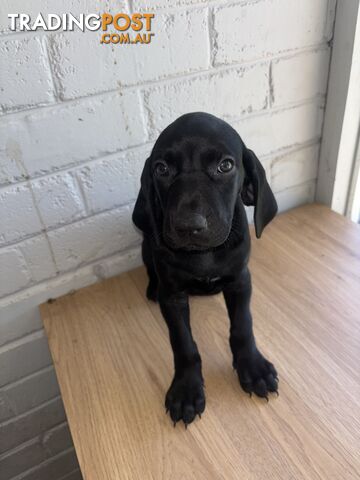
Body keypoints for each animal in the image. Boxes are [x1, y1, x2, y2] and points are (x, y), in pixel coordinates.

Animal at [132, 113, 278, 428]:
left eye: (225, 165)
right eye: (161, 169)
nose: (189, 226)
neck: (204, 255)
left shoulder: (240, 281)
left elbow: (243, 325)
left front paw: (252, 366)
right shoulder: (173, 296)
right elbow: (183, 343)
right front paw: (186, 389)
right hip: (147, 245)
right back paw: (151, 288)